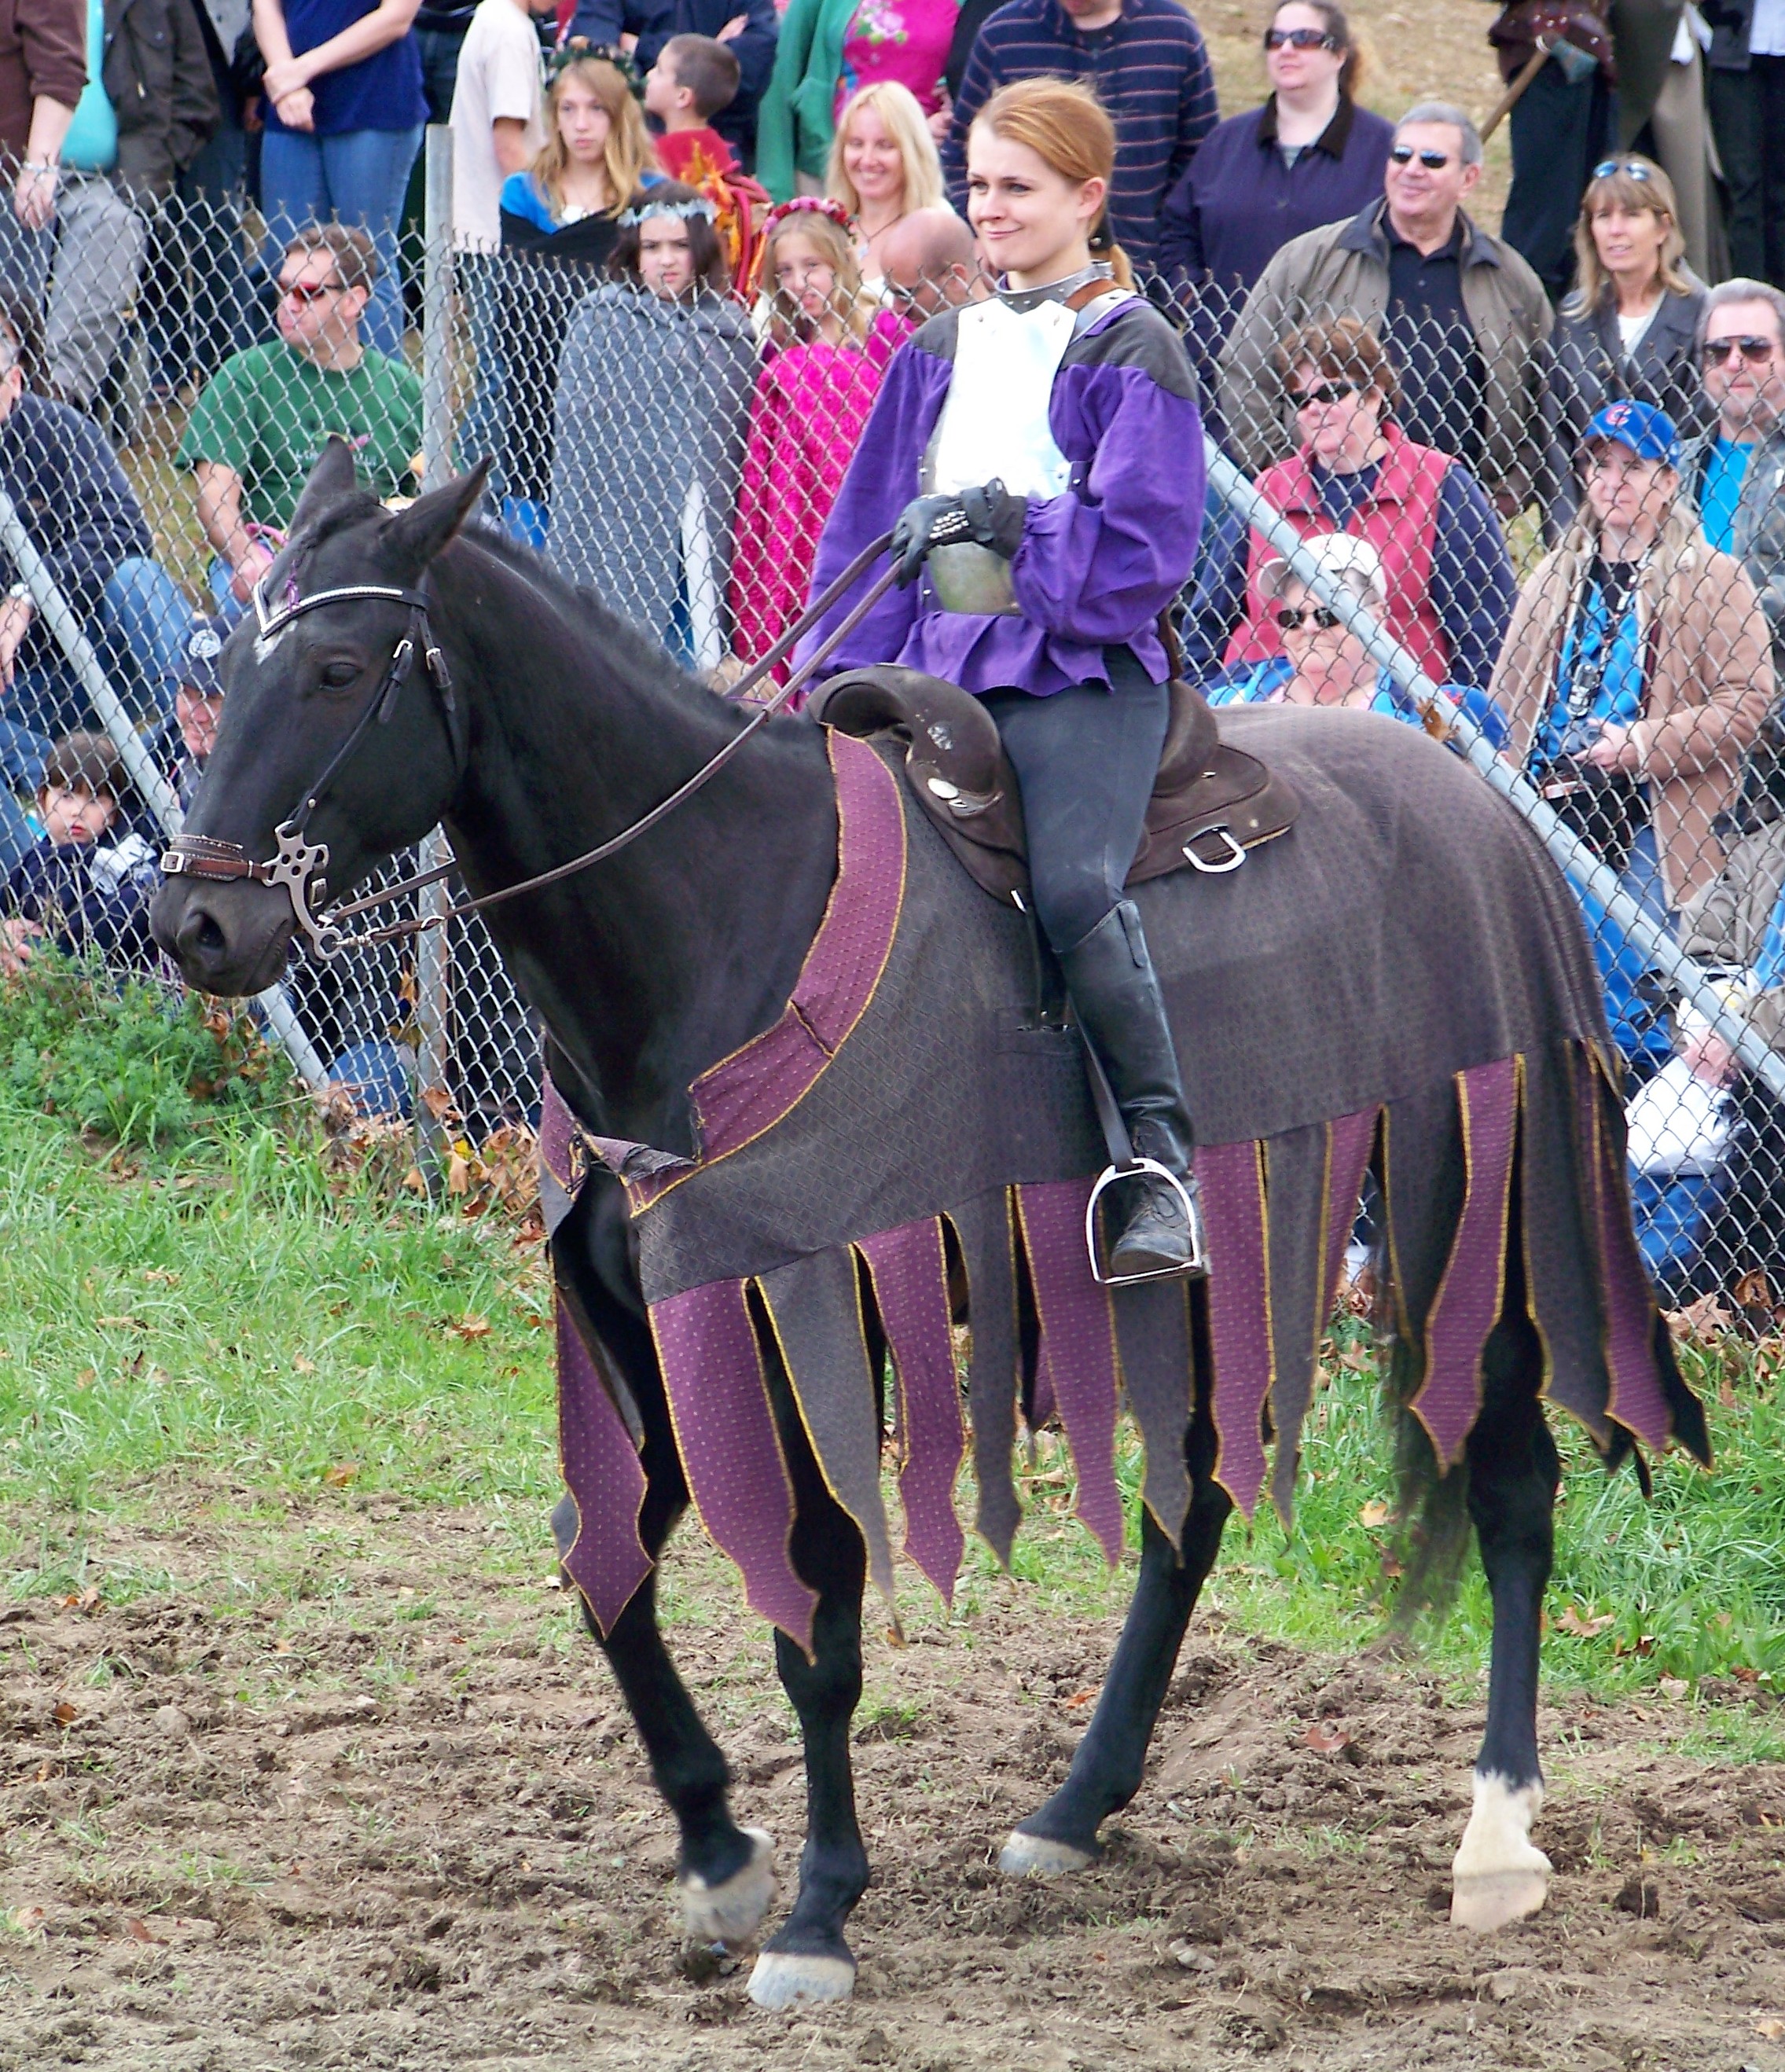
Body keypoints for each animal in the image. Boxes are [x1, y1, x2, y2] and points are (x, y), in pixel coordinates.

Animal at [157, 450, 1722, 2005]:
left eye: (339, 668)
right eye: (230, 661)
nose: (197, 926)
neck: (722, 918)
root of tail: (1486, 816)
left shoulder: (807, 1309)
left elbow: (819, 1620)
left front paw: (813, 1915)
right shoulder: (657, 1325)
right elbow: (599, 1558)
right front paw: (718, 1851)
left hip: (1463, 1203)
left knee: (1509, 1483)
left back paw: (1496, 1837)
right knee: (1193, 1504)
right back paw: (1075, 1807)